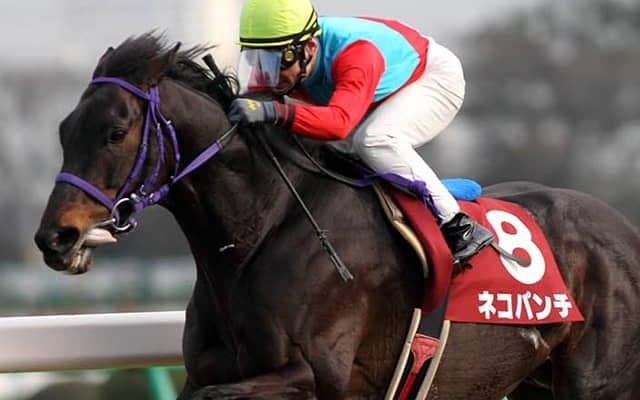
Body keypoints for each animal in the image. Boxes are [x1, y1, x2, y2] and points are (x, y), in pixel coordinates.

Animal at [34, 33, 640, 400]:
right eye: (63, 130)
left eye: (115, 132)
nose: (55, 238)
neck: (260, 232)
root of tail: (625, 231)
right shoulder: (207, 369)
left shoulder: (317, 376)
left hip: (597, 384)